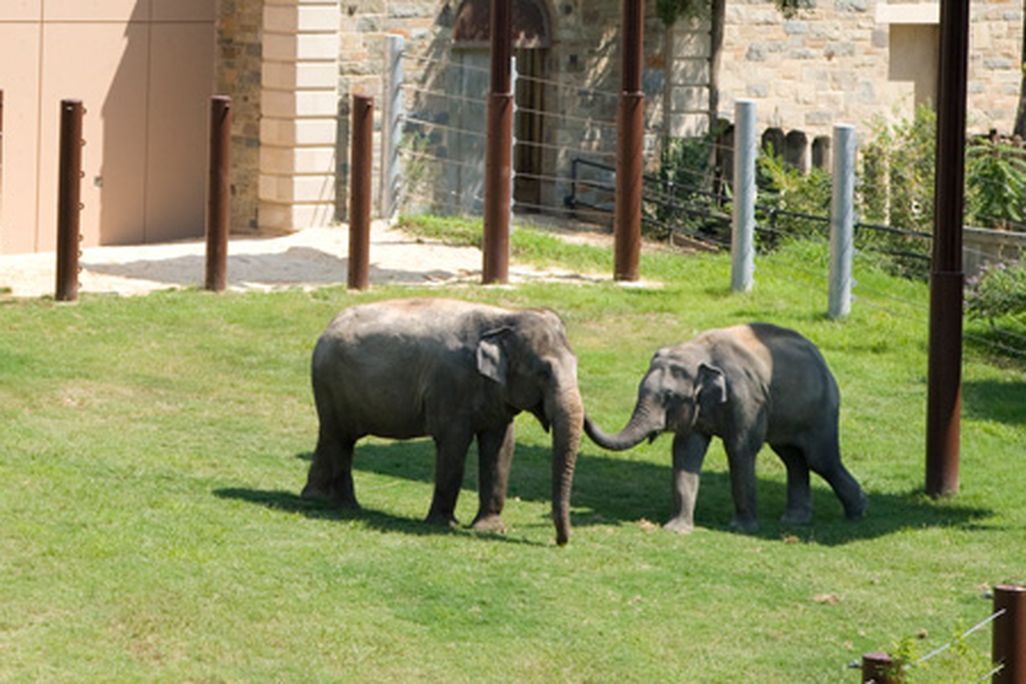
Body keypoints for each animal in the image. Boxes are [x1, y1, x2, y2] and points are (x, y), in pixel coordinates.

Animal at [301, 297, 584, 546]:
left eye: (576, 365)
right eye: (543, 372)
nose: (560, 542)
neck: (503, 317)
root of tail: (329, 325)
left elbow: (501, 448)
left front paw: (490, 529)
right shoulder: (451, 384)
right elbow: (454, 444)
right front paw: (443, 524)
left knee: (334, 437)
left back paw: (316, 498)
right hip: (330, 384)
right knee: (339, 438)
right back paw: (346, 506)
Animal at [584, 323, 867, 534]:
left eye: (669, 396)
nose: (584, 412)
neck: (697, 351)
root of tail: (822, 359)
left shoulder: (746, 397)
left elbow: (740, 449)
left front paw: (742, 528)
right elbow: (685, 451)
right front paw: (676, 529)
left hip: (821, 409)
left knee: (820, 459)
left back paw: (858, 513)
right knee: (792, 458)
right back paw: (796, 520)